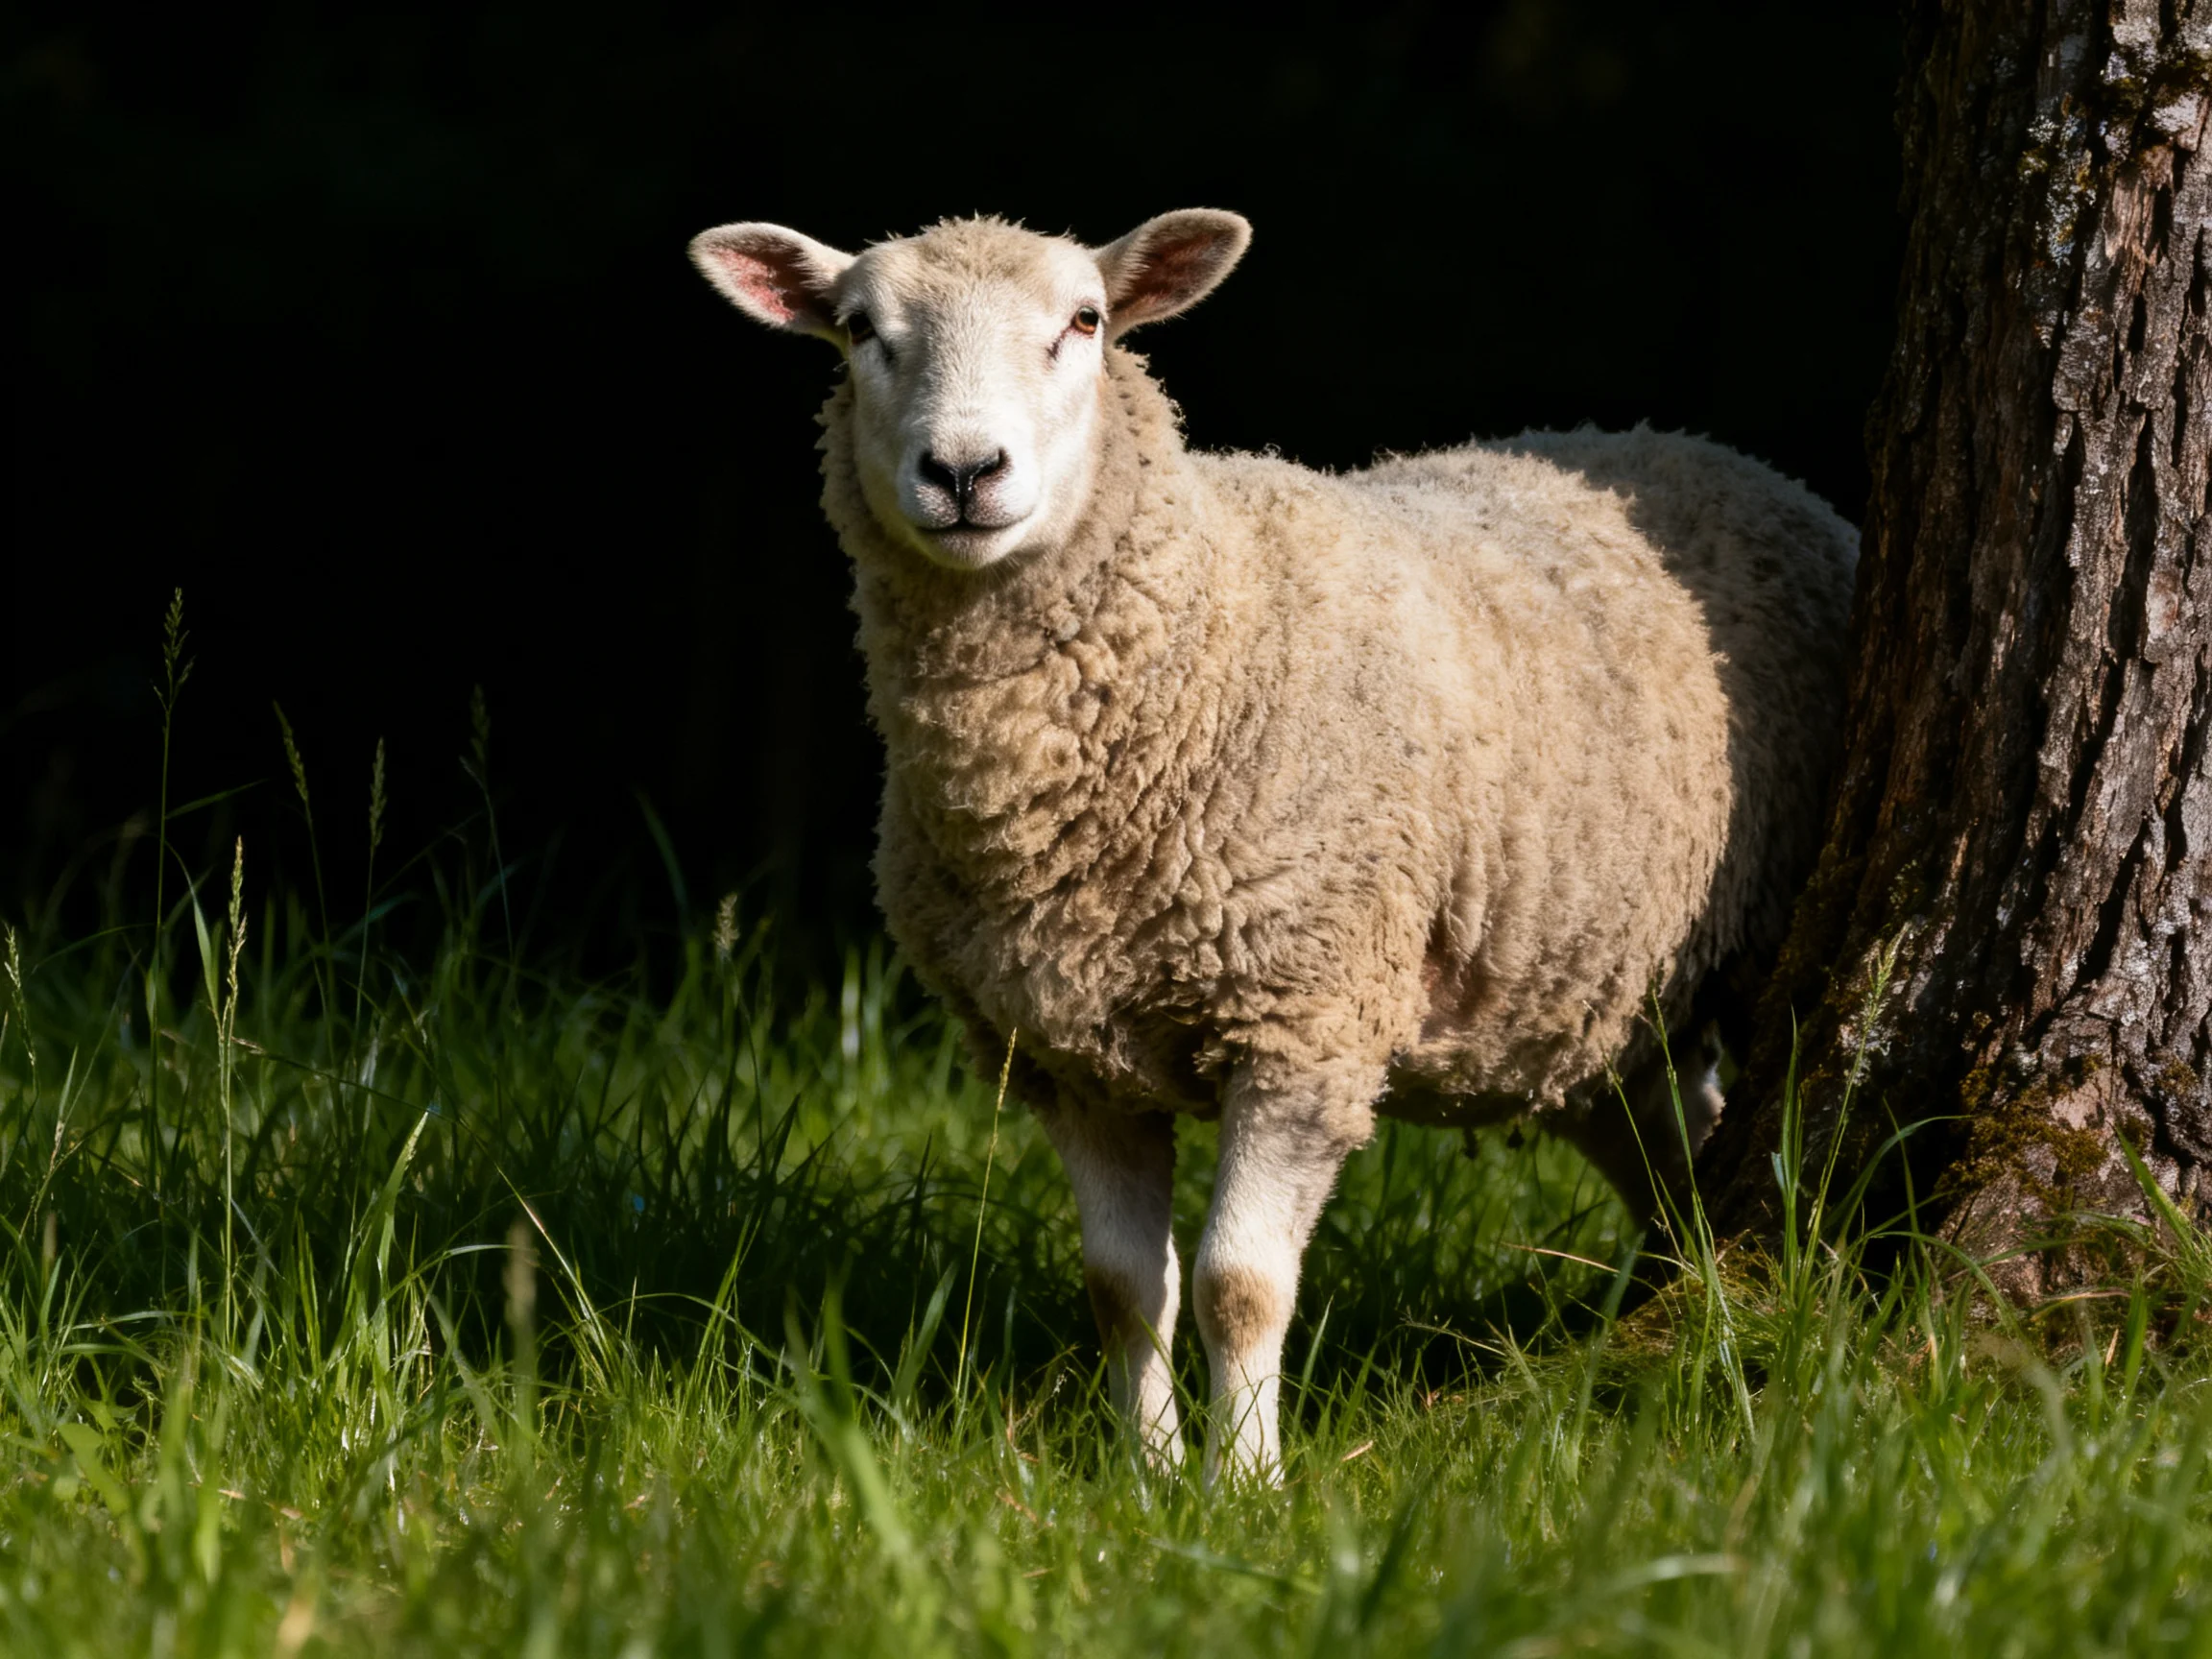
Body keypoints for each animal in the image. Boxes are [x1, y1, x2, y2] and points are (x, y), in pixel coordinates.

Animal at [688, 209, 1858, 1483]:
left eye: (1084, 321)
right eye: (859, 329)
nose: (961, 474)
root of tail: (1722, 458)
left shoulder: (1305, 1019)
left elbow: (1237, 1285)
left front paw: (1242, 1484)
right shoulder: (1067, 1056)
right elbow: (1121, 1290)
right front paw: (1144, 1476)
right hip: (1592, 998)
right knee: (1674, 1165)